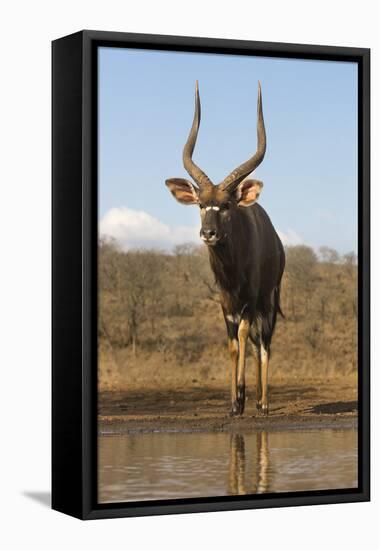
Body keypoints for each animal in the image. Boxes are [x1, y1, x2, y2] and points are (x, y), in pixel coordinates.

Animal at [166, 81, 284, 418]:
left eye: (227, 204)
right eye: (201, 205)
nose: (209, 233)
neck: (232, 271)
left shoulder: (248, 301)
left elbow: (244, 336)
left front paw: (242, 398)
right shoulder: (225, 304)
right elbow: (232, 344)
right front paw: (233, 402)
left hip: (269, 300)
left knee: (264, 343)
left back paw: (263, 403)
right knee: (256, 343)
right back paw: (254, 400)